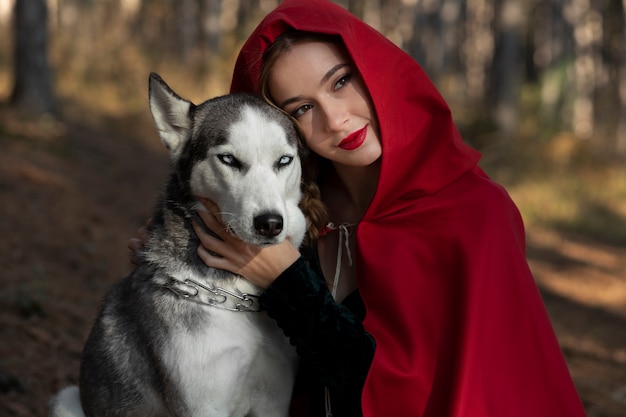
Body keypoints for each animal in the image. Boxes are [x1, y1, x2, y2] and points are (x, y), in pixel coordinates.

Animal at [48, 74, 304, 416]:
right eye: (229, 159)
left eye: (284, 160)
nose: (270, 223)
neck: (237, 294)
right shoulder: (202, 406)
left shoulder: (273, 401)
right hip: (65, 399)